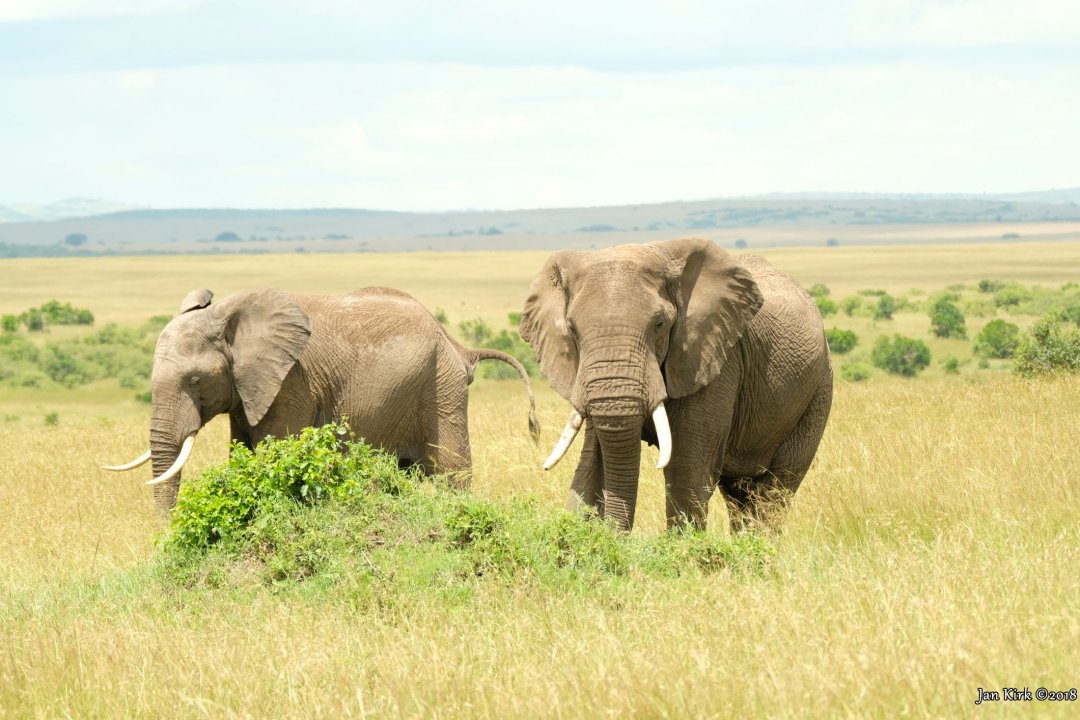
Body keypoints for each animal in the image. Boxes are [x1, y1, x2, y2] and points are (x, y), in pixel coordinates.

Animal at [105, 284, 535, 509]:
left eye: (195, 381)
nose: (161, 540)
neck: (228, 314)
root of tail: (458, 346)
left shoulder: (292, 381)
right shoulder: (249, 388)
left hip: (441, 386)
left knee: (451, 473)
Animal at [522, 239, 833, 533]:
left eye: (660, 324)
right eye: (572, 329)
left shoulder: (714, 361)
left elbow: (687, 470)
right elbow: (590, 466)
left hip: (817, 393)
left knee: (775, 491)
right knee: (739, 495)